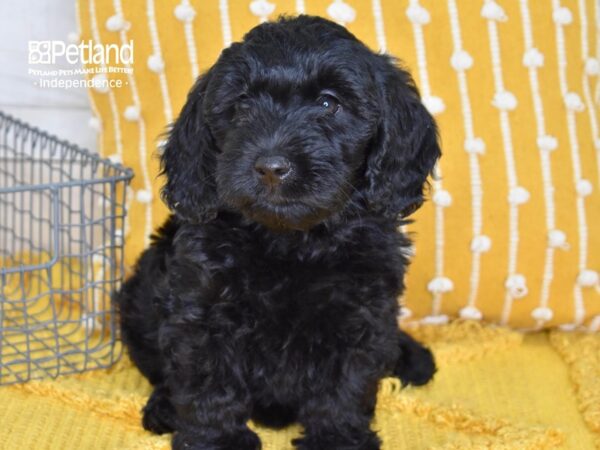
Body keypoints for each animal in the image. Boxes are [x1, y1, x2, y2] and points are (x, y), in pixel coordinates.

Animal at [117, 14, 438, 450]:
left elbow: (345, 385)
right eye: (242, 106)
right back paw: (165, 406)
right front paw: (217, 440)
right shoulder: (202, 308)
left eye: (328, 103)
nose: (271, 167)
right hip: (138, 295)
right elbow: (209, 382)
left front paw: (337, 438)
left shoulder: (362, 314)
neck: (291, 241)